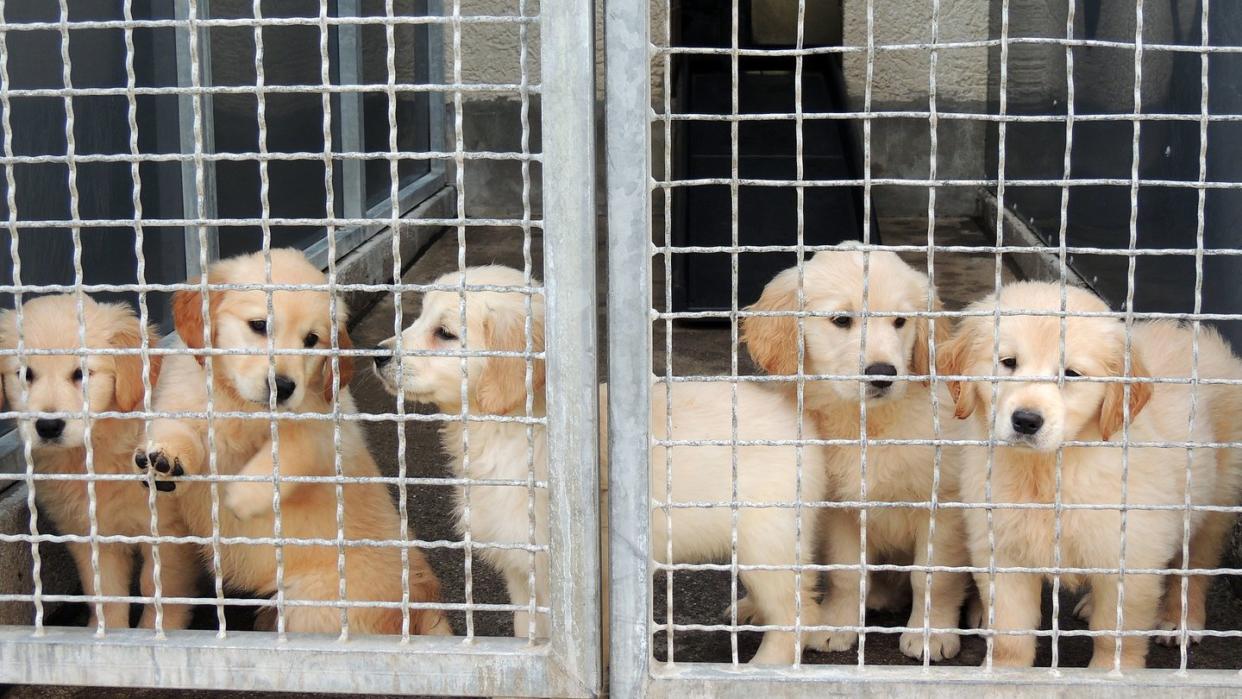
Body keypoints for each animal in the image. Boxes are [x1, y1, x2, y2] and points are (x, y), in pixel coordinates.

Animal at [0, 295, 196, 628]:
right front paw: (111, 630)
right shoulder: (90, 533)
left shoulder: (167, 530)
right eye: (25, 375)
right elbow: (104, 590)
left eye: (81, 374)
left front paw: (157, 629)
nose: (48, 426)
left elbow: (157, 587)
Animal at [138, 248, 449, 635]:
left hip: (313, 605)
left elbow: (290, 448)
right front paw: (164, 458)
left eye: (311, 340)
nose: (283, 387)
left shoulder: (323, 427)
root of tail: (421, 602)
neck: (238, 404)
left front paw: (242, 496)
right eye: (259, 325)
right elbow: (178, 429)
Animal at [372, 265, 829, 665]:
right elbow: (526, 632)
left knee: (795, 610)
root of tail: (796, 412)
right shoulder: (522, 571)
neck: (505, 431)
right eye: (419, 317)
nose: (376, 355)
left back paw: (764, 665)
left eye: (445, 333)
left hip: (766, 538)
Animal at [735, 245, 968, 660]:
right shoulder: (841, 509)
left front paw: (931, 633)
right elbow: (846, 573)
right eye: (842, 320)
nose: (883, 373)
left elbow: (932, 577)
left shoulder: (944, 503)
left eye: (900, 321)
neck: (868, 424)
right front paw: (837, 626)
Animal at [938, 281, 1242, 670]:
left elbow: (1116, 631)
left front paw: (1110, 672)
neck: (1048, 470)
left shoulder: (1130, 554)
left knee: (1195, 568)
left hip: (1214, 502)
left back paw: (1179, 620)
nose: (1026, 421)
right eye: (1008, 363)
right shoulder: (1002, 552)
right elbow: (1009, 631)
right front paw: (1007, 671)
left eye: (1071, 374)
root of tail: (1195, 334)